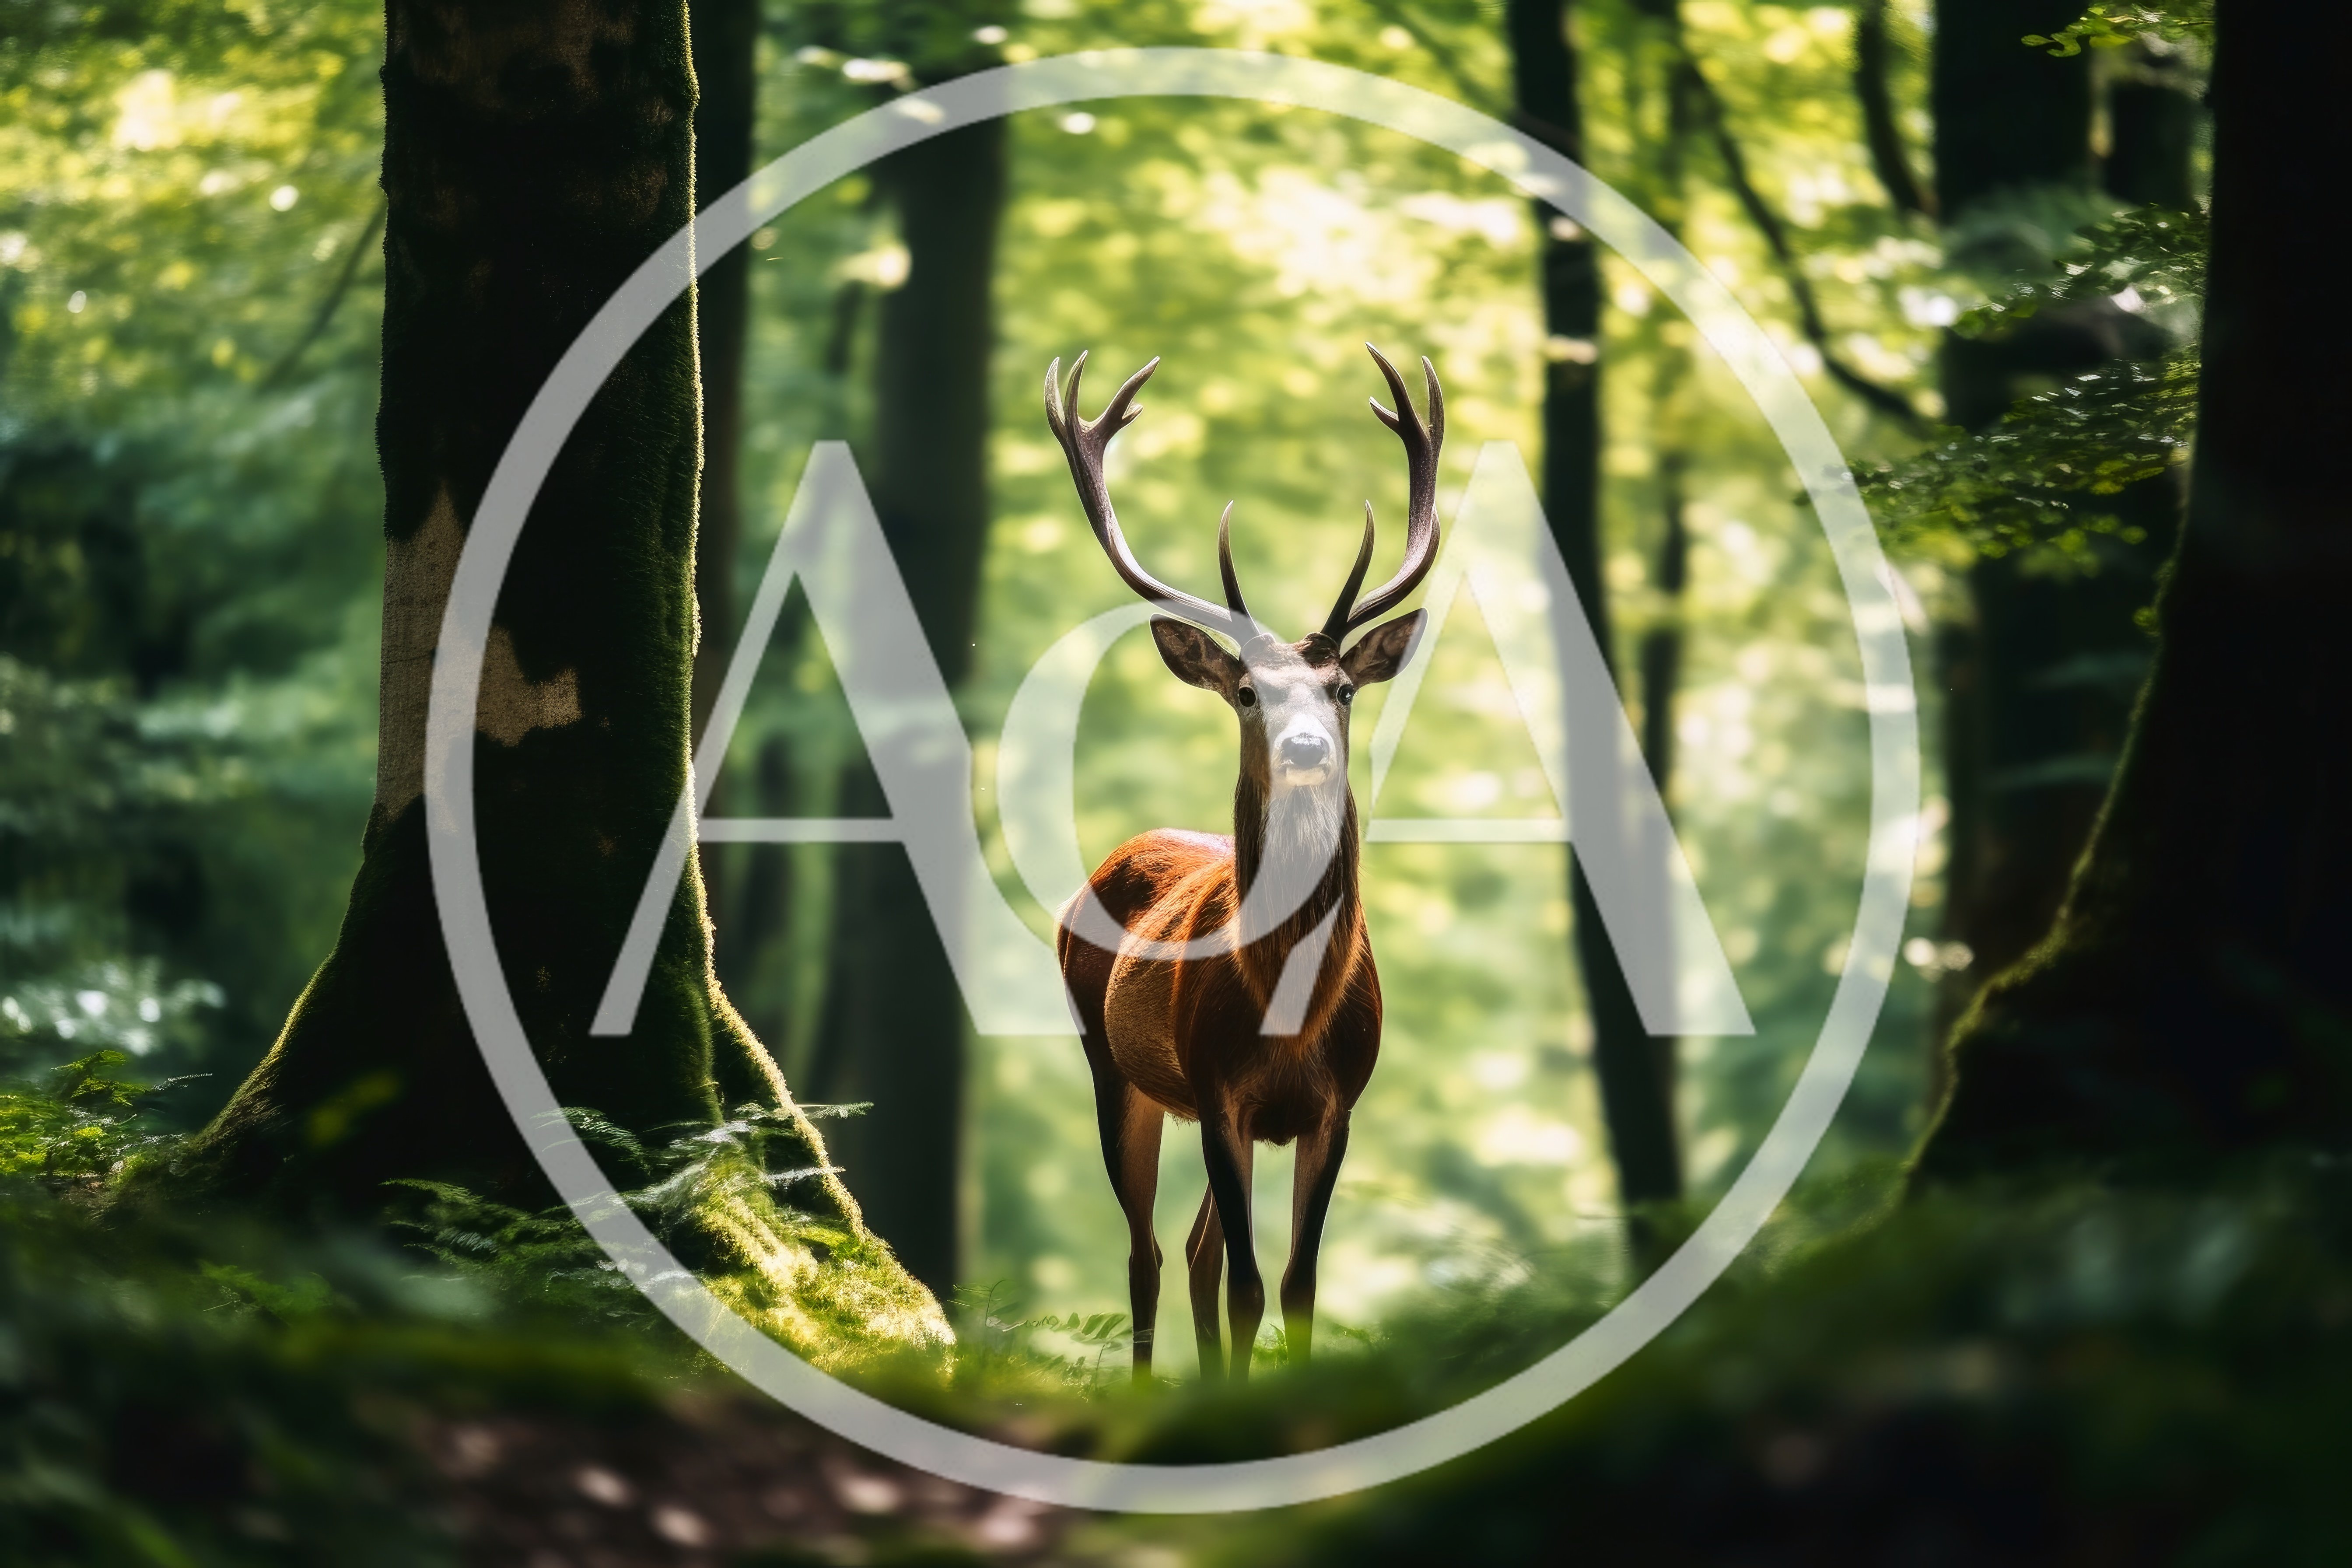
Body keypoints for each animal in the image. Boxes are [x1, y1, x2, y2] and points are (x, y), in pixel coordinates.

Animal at [1044, 343, 1443, 1384]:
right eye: (1249, 693)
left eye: (1342, 688)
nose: (1305, 747)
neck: (1289, 1008)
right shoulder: (1220, 1090)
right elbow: (1251, 1287)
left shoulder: (1336, 1104)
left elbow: (1297, 1286)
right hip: (1114, 1065)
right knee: (1147, 1252)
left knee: (1192, 1250)